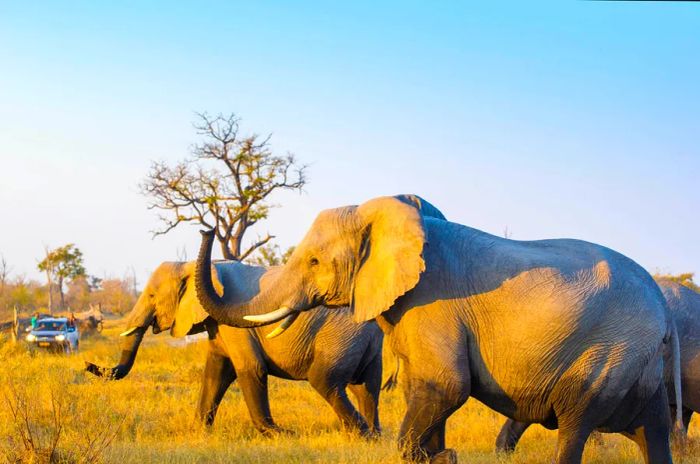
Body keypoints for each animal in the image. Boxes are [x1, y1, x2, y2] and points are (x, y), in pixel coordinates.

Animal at [86, 260, 388, 436]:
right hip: (364, 342)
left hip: (340, 335)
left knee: (325, 380)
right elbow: (216, 372)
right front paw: (199, 431)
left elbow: (249, 368)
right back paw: (374, 435)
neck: (193, 265)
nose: (88, 365)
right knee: (366, 386)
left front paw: (278, 434)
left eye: (151, 295)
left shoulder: (236, 322)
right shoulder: (219, 324)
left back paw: (360, 434)